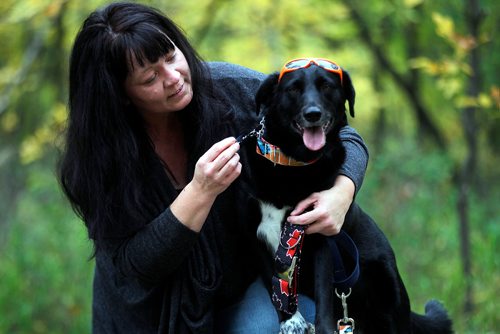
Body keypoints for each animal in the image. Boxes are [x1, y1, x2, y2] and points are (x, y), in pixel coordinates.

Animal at [238, 58, 454, 332]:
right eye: (293, 89)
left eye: (327, 86)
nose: (313, 114)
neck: (293, 163)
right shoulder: (254, 237)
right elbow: (275, 286)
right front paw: (291, 322)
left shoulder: (321, 236)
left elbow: (323, 295)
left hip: (389, 295)